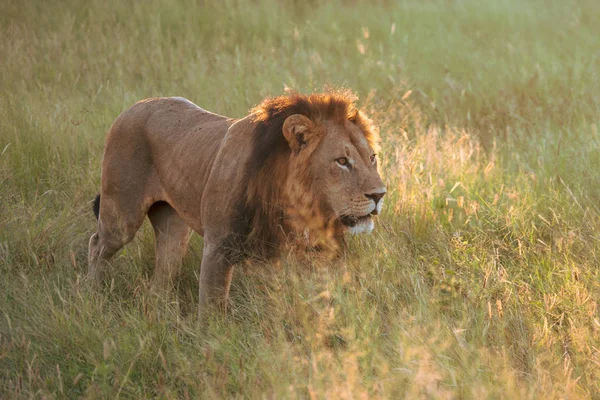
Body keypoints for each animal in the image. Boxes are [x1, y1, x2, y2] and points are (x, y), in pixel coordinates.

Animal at [91, 89, 386, 314]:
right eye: (342, 161)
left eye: (372, 158)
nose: (380, 195)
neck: (299, 206)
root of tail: (135, 106)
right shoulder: (218, 248)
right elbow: (211, 312)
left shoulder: (308, 257)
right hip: (122, 216)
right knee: (97, 243)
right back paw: (91, 294)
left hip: (173, 228)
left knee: (163, 270)